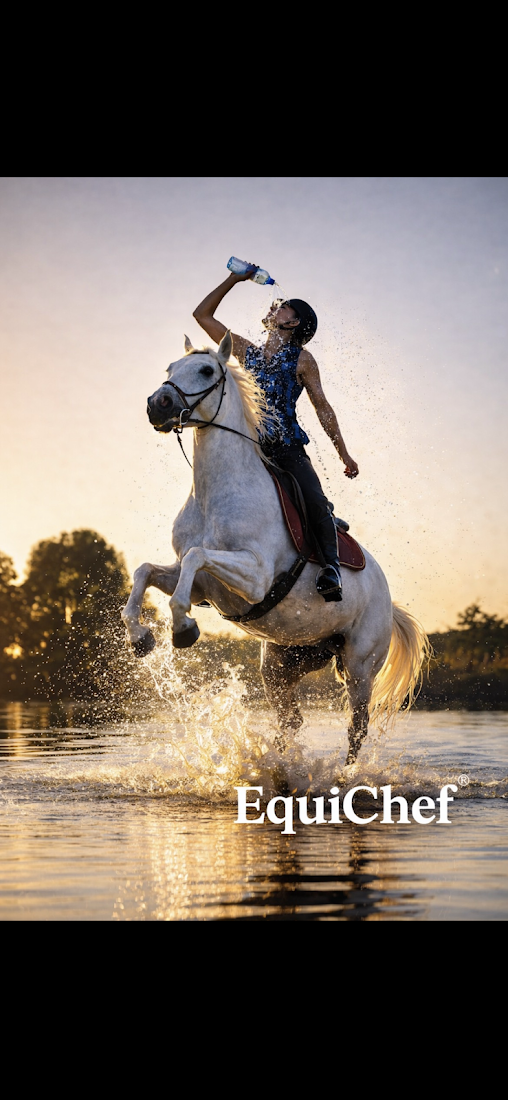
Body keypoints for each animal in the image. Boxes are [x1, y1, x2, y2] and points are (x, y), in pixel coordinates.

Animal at [121, 332, 429, 764]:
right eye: (170, 368)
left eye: (206, 370)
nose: (157, 405)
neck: (214, 494)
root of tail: (389, 599)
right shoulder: (203, 586)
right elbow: (146, 570)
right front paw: (140, 637)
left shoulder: (254, 577)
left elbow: (197, 559)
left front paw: (183, 629)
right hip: (284, 664)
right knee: (291, 722)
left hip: (359, 666)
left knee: (357, 727)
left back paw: (344, 773)